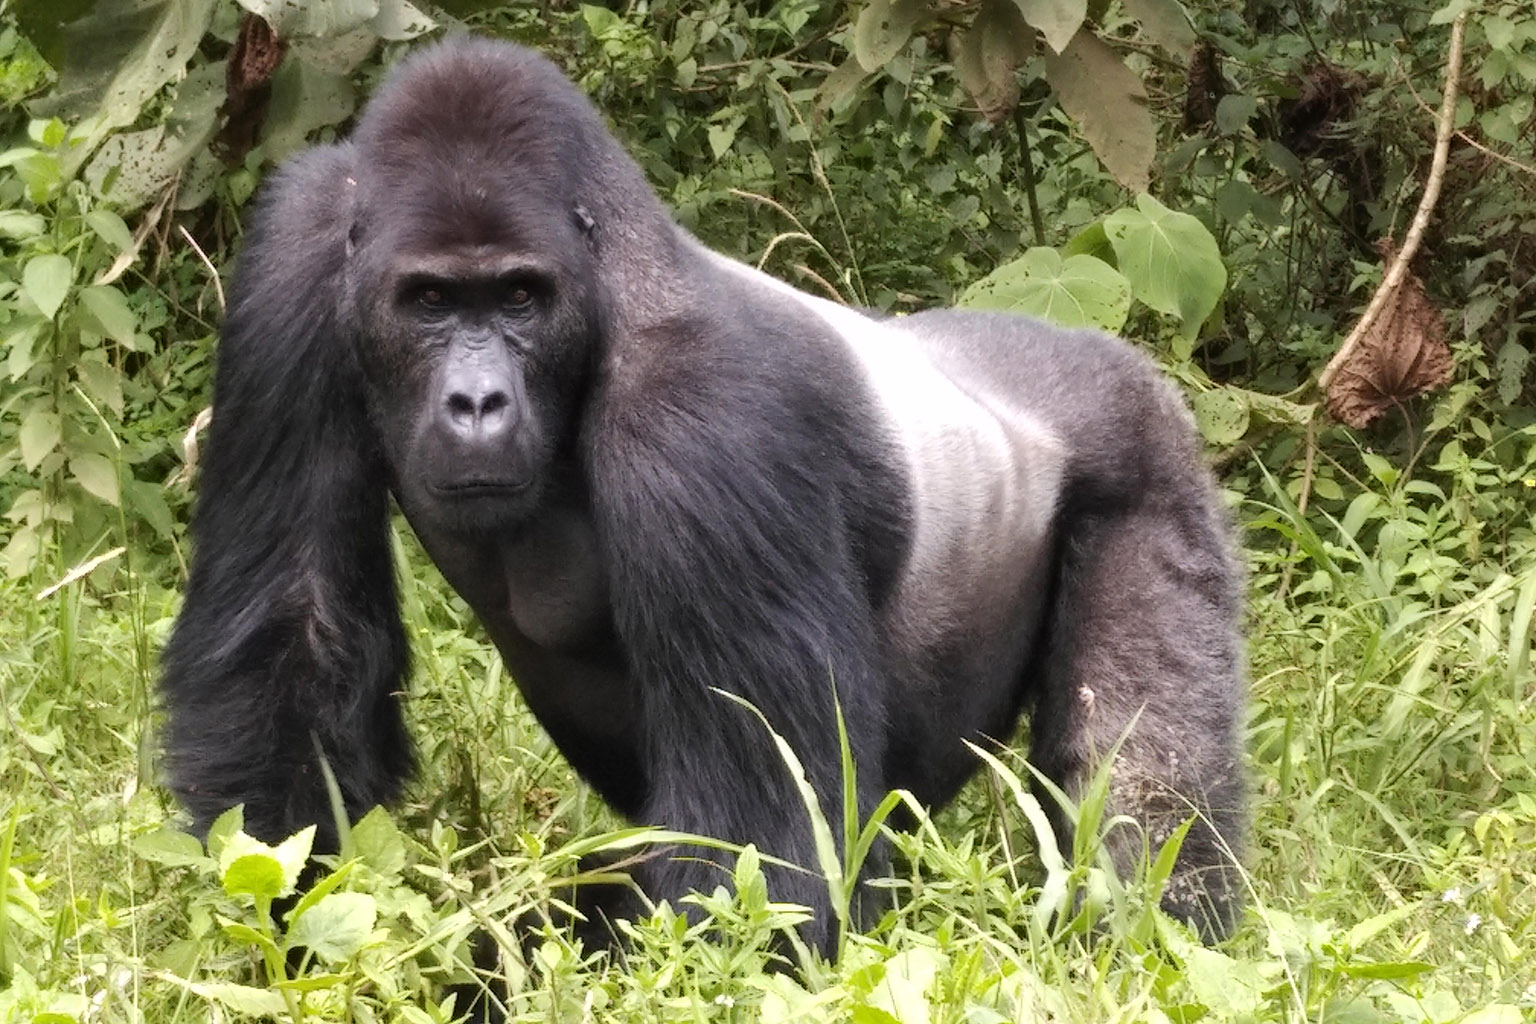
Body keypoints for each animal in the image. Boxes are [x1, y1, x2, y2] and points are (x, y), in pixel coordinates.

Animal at [165, 37, 1247, 951]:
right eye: (429, 301)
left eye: (519, 297)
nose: (476, 400)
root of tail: (1098, 353)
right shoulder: (299, 256)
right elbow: (294, 642)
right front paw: (285, 933)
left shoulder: (707, 413)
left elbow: (761, 848)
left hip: (1147, 452)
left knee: (1143, 804)